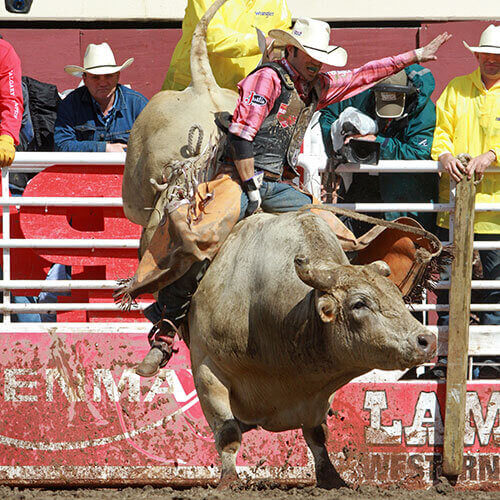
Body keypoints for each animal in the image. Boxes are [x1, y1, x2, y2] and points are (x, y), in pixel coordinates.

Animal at [121, 0, 442, 488]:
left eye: (395, 295)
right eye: (359, 304)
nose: (425, 341)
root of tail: (204, 87)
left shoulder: (311, 397)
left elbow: (317, 434)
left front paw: (333, 479)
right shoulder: (208, 373)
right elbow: (229, 432)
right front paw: (230, 481)